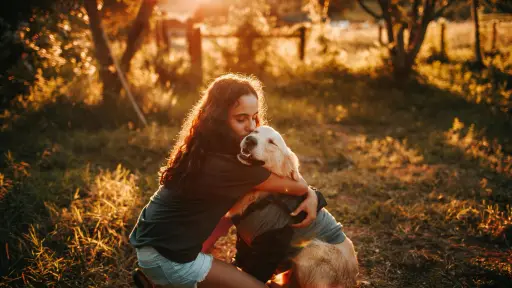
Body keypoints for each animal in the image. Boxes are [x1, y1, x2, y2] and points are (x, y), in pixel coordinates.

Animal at [226, 126, 358, 288]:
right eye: (255, 132)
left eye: (272, 143)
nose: (250, 140)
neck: (265, 196)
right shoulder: (245, 240)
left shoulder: (270, 247)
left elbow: (256, 273)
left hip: (312, 249)